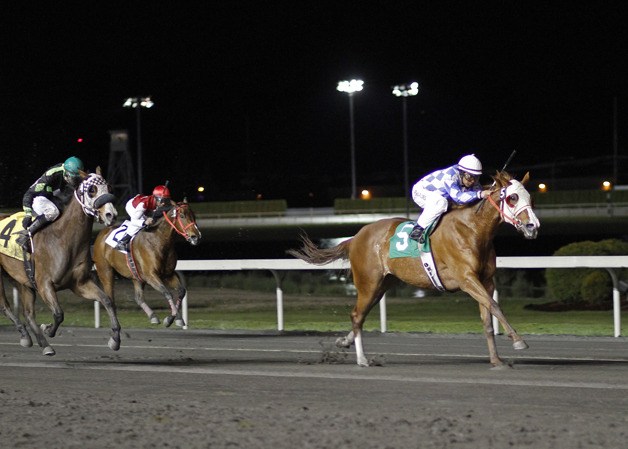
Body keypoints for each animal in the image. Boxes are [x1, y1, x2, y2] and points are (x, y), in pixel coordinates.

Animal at [0, 168, 119, 354]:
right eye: (91, 190)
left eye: (110, 187)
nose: (111, 215)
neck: (62, 239)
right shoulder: (44, 284)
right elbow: (58, 313)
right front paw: (48, 329)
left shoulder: (79, 283)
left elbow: (106, 300)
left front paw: (115, 338)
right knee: (6, 307)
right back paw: (25, 335)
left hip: (22, 280)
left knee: (28, 313)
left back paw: (44, 344)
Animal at [290, 172, 540, 368]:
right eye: (512, 197)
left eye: (530, 197)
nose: (533, 226)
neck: (473, 230)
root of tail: (356, 237)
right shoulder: (466, 279)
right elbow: (495, 306)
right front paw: (518, 340)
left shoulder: (486, 280)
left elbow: (488, 318)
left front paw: (496, 360)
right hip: (368, 282)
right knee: (357, 315)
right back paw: (362, 359)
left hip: (383, 284)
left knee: (360, 315)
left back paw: (345, 341)